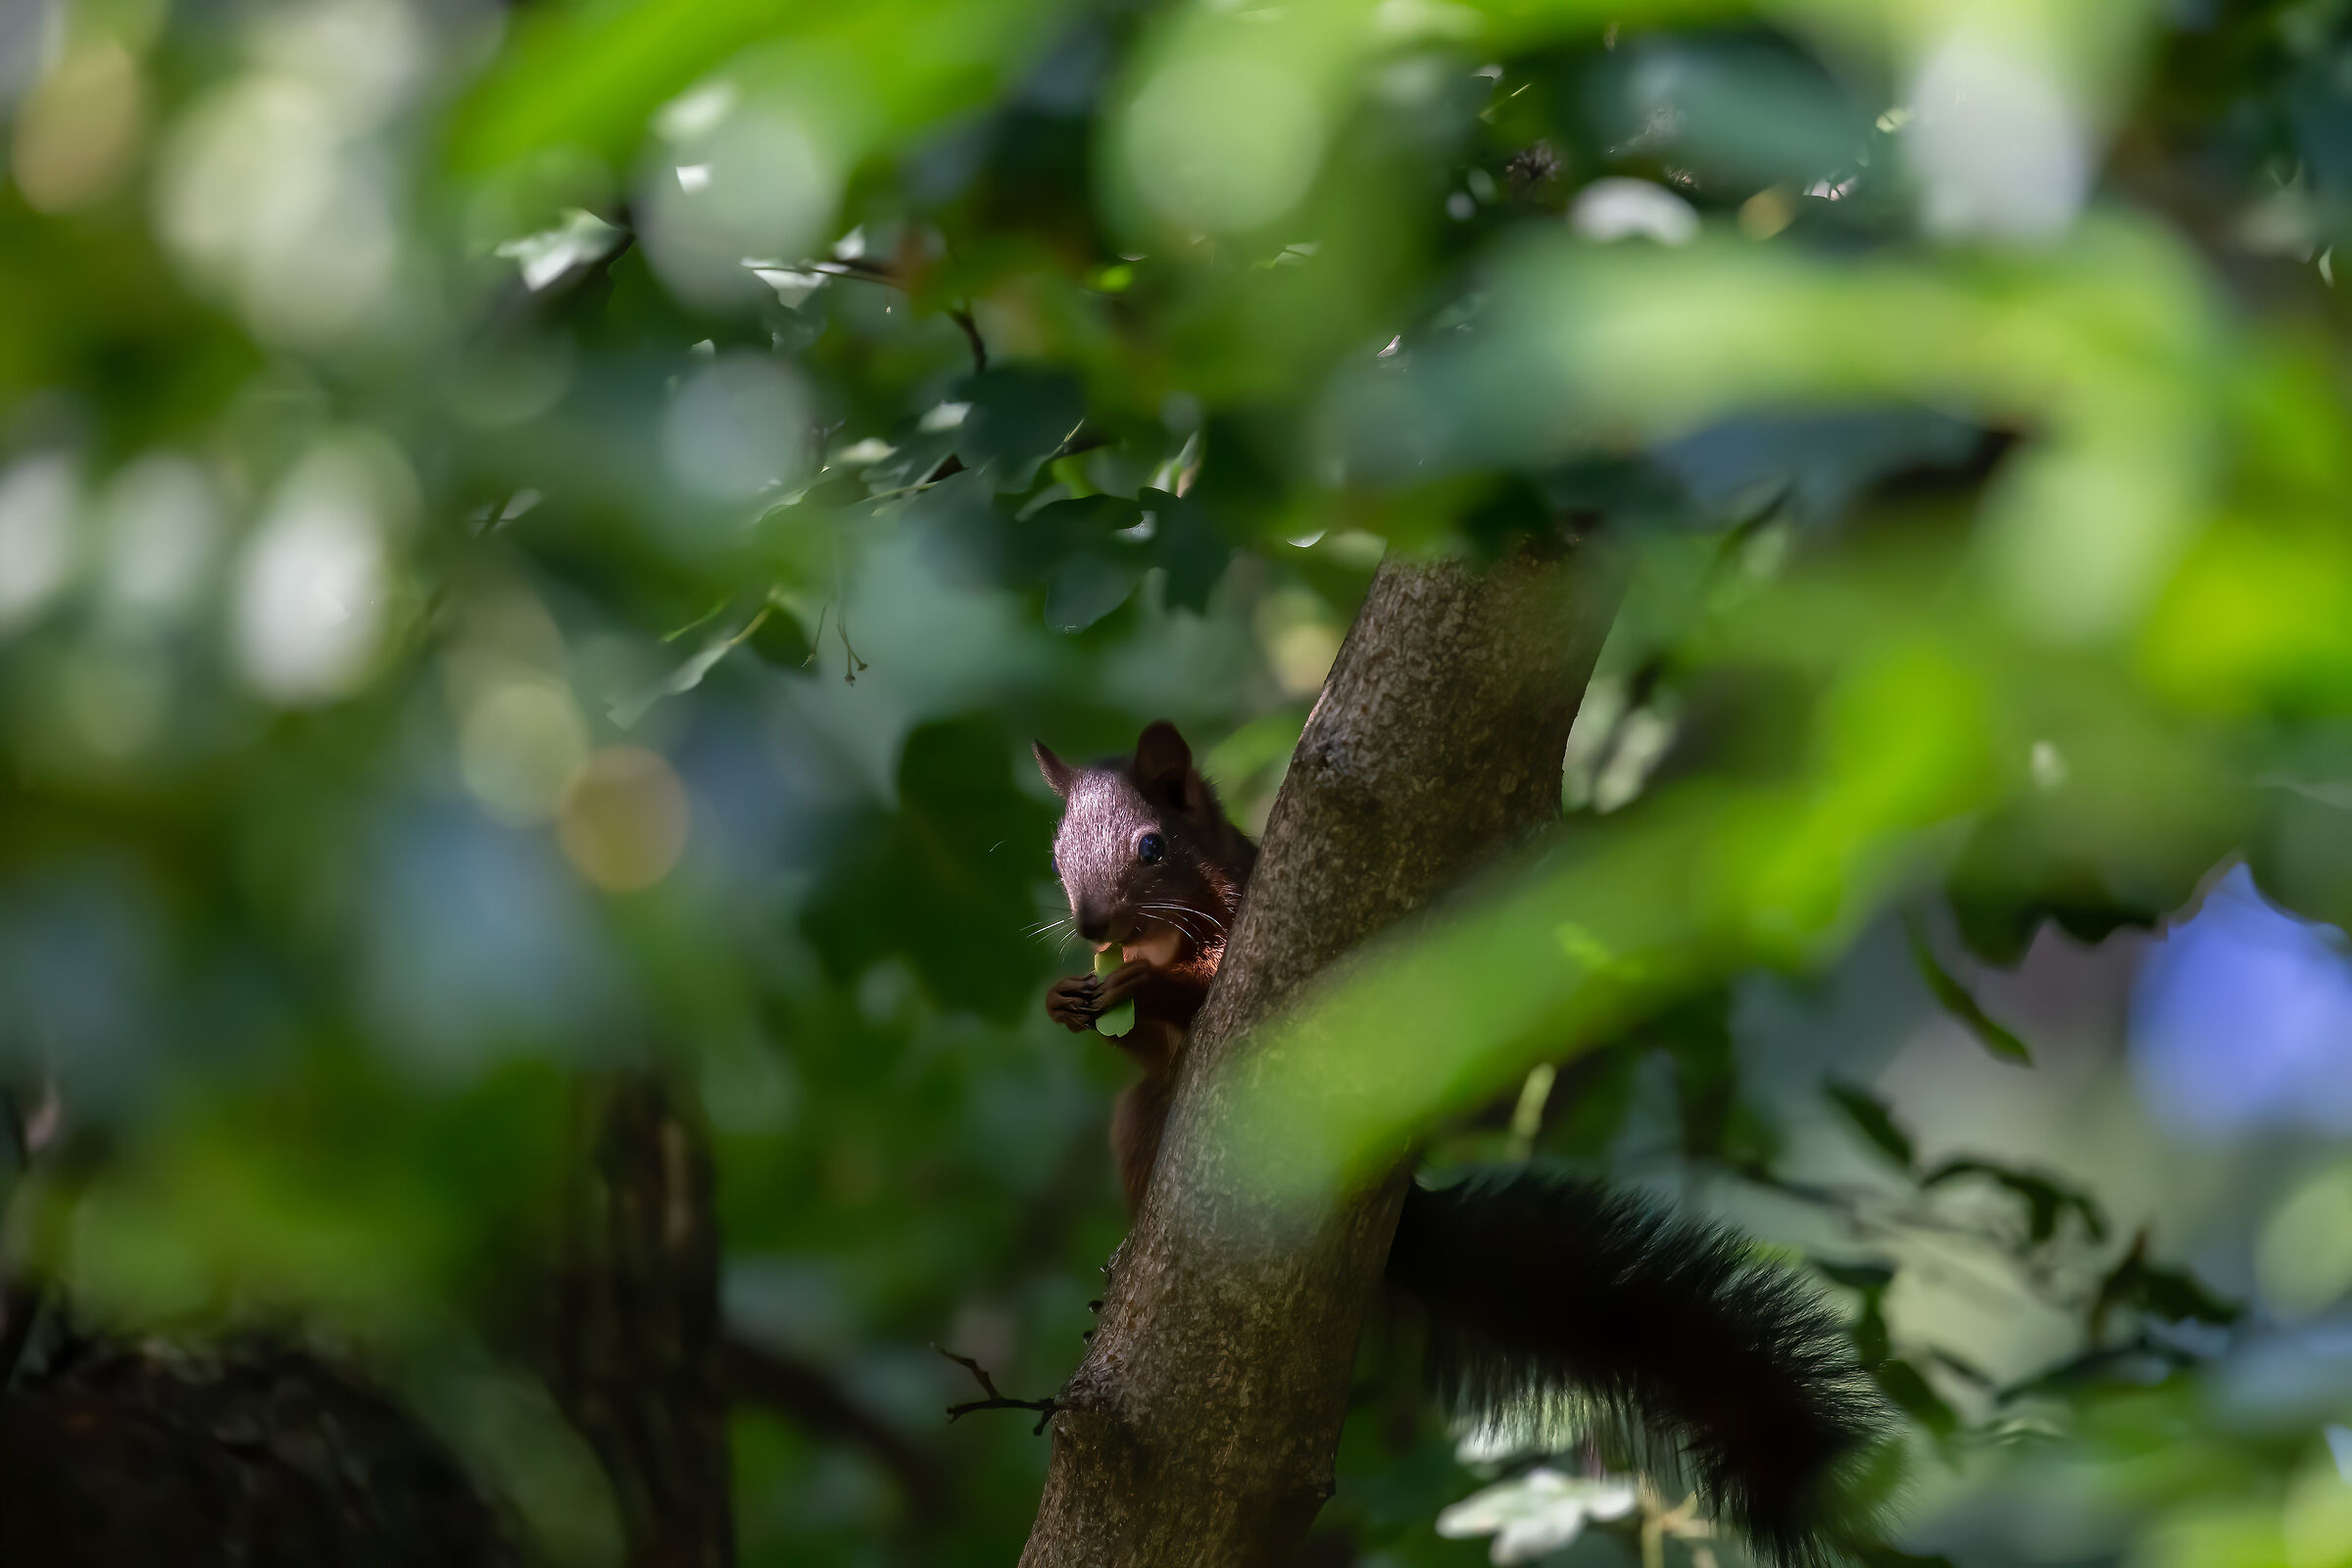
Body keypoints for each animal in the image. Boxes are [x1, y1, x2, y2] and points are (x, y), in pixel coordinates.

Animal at [1035, 720, 1891, 1566]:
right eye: (1056, 850)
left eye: (1151, 847)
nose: (1090, 927)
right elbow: (1140, 1045)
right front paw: (1065, 997)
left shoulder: (1255, 917)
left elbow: (1214, 987)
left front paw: (1142, 986)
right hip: (1140, 1120)